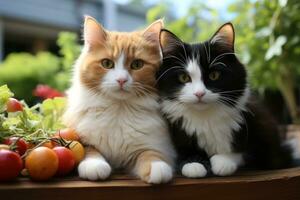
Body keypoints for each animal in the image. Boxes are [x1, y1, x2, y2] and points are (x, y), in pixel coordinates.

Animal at [63, 16, 176, 184]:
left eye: (137, 64)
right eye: (107, 63)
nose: (121, 80)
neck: (119, 109)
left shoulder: (151, 144)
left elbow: (150, 154)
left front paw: (157, 167)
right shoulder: (80, 136)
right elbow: (88, 149)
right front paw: (94, 165)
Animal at [157, 22, 292, 177]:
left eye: (214, 75)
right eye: (184, 77)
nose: (199, 93)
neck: (206, 118)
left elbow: (246, 152)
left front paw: (223, 161)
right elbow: (184, 152)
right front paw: (193, 164)